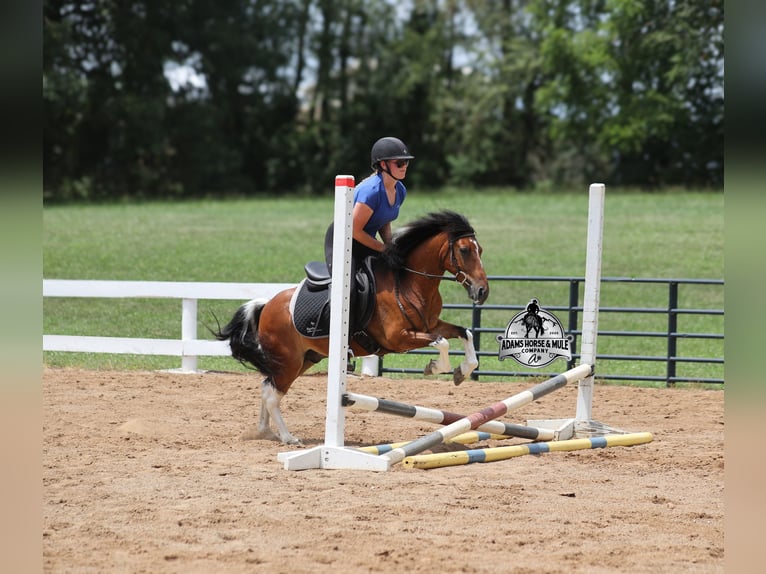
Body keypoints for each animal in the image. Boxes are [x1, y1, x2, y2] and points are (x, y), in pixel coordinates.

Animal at [213, 210, 489, 445]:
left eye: (480, 249)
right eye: (464, 250)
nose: (482, 292)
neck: (409, 283)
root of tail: (266, 305)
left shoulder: (431, 325)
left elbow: (464, 333)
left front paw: (462, 372)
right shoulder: (398, 339)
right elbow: (442, 342)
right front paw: (434, 367)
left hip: (305, 359)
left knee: (267, 387)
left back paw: (264, 431)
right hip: (289, 362)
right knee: (272, 395)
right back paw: (289, 438)